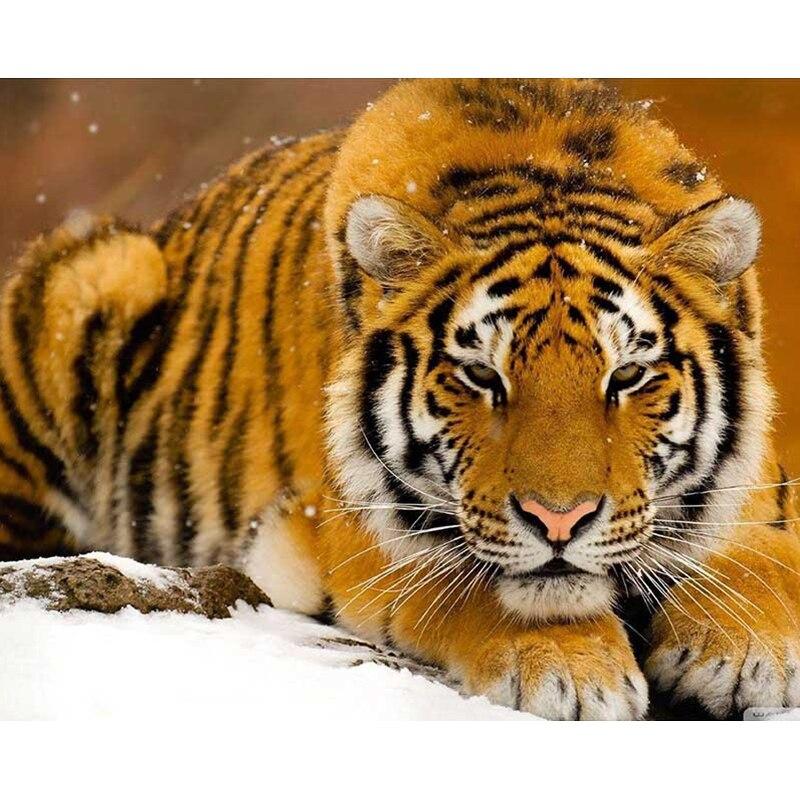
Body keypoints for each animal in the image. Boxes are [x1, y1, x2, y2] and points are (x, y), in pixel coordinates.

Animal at [0, 78, 798, 720]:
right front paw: (572, 671)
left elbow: (756, 555)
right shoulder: (356, 531)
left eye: (626, 376)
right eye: (481, 376)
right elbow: (471, 584)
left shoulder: (758, 488)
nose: (559, 521)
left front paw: (751, 648)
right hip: (96, 273)